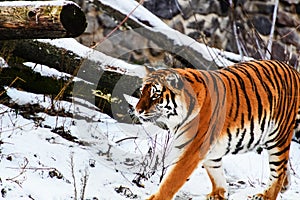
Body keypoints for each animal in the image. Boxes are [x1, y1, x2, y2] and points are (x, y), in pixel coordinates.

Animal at [134, 60, 300, 200]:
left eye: (155, 95)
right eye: (142, 92)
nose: (137, 110)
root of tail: (293, 70)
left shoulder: (192, 149)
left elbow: (172, 180)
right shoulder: (209, 149)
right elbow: (215, 171)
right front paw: (218, 194)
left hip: (277, 137)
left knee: (278, 170)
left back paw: (265, 196)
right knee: (284, 167)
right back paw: (285, 186)